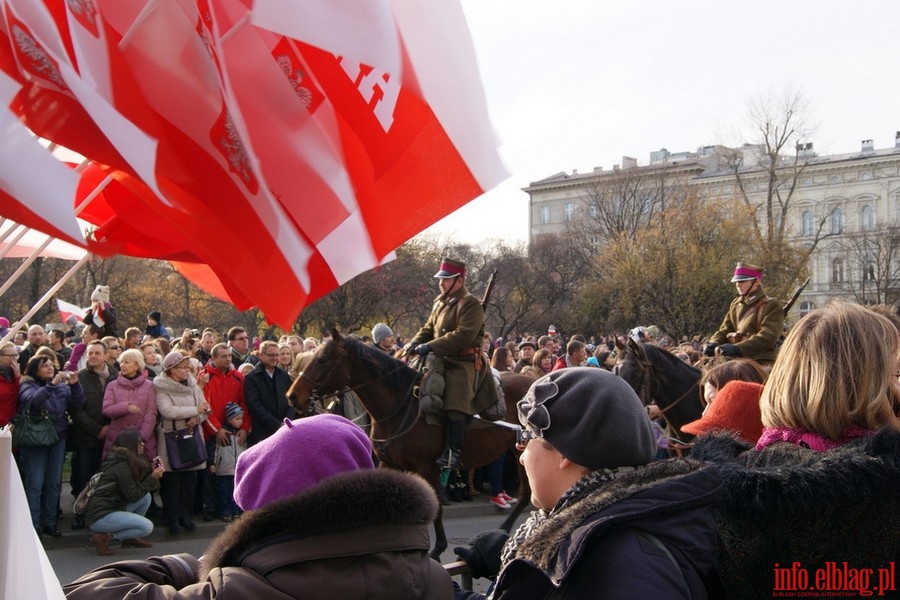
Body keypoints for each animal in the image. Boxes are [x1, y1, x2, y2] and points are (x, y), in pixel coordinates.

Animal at [284, 330, 532, 560]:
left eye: (323, 359)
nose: (293, 396)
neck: (400, 407)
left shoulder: (426, 467)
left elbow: (435, 505)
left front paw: (437, 549)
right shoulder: (389, 463)